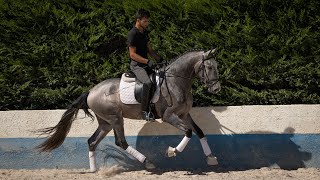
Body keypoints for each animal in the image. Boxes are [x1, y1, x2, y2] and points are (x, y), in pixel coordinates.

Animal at [35, 47, 220, 172]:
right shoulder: (169, 116)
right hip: (116, 118)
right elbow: (188, 131)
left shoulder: (184, 114)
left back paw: (94, 170)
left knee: (92, 141)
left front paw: (211, 158)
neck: (176, 81)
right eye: (210, 67)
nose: (216, 89)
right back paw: (147, 162)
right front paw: (172, 151)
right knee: (121, 142)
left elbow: (199, 131)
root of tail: (91, 91)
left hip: (106, 122)